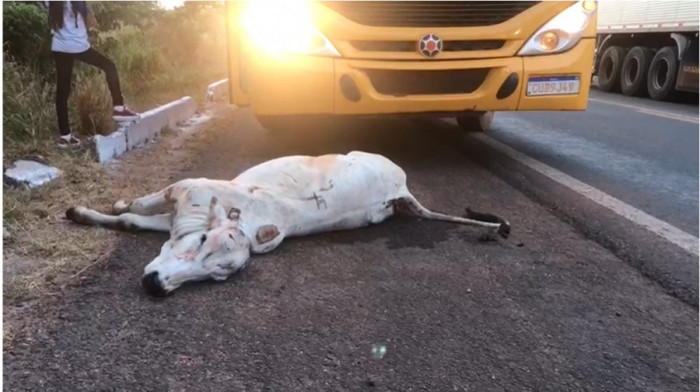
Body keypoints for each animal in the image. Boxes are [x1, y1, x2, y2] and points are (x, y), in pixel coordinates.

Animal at [65, 152, 508, 296]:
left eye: (217, 276)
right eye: (202, 238)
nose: (155, 285)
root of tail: (401, 189)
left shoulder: (179, 198)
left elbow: (132, 215)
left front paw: (86, 211)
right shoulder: (180, 194)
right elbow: (134, 213)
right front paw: (103, 207)